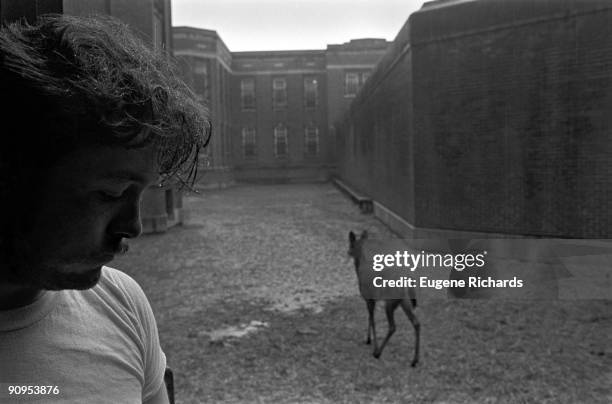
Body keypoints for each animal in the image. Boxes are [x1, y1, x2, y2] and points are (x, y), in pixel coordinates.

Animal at [350, 230, 420, 366]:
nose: (348, 252)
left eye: (351, 244)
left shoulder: (368, 297)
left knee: (393, 326)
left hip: (390, 302)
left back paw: (378, 353)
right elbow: (370, 317)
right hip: (404, 301)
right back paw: (414, 360)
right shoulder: (371, 299)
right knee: (416, 322)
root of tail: (408, 282)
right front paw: (368, 339)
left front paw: (371, 342)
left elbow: (372, 319)